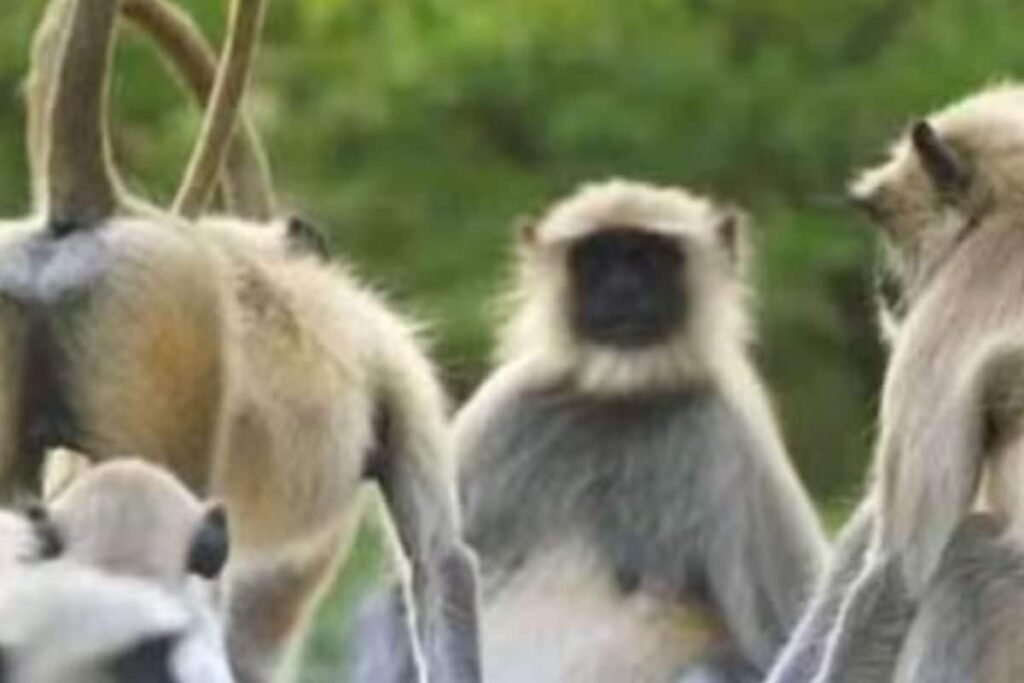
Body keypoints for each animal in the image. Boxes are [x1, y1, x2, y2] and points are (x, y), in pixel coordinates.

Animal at [355, 179, 827, 682]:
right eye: (596, 261)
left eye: (648, 258)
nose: (622, 288)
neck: (620, 394)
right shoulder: (505, 410)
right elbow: (417, 580)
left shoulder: (733, 437)